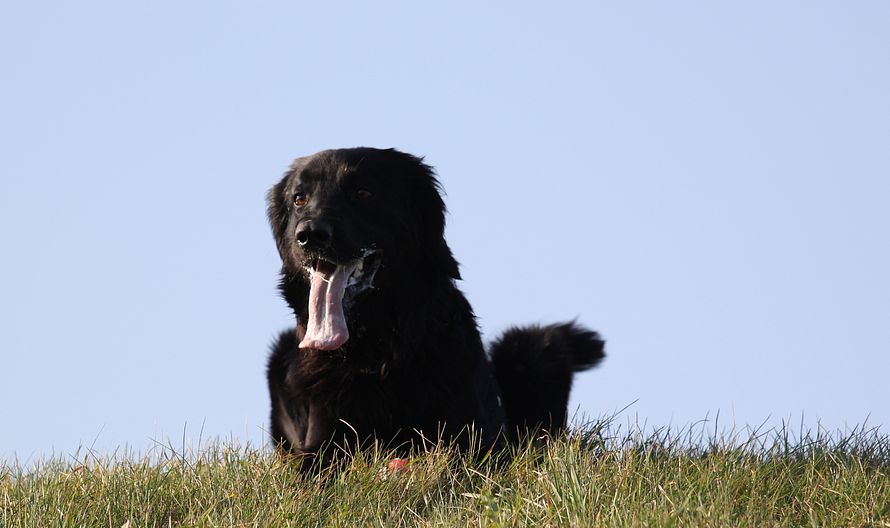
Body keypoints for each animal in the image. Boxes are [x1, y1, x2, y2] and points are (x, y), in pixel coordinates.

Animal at [265, 147, 604, 465]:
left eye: (363, 193)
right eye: (299, 199)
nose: (309, 235)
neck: (378, 353)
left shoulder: (477, 443)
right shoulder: (322, 443)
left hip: (533, 347)